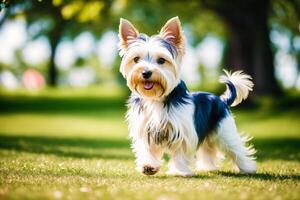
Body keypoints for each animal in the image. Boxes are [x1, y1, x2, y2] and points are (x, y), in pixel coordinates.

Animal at [117, 17, 255, 177]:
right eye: (136, 59)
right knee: (207, 149)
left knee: (236, 148)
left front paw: (179, 171)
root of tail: (221, 100)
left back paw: (247, 168)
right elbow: (147, 149)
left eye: (161, 60)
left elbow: (180, 153)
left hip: (224, 130)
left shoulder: (183, 131)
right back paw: (207, 167)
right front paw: (148, 166)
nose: (146, 73)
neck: (156, 98)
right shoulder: (145, 129)